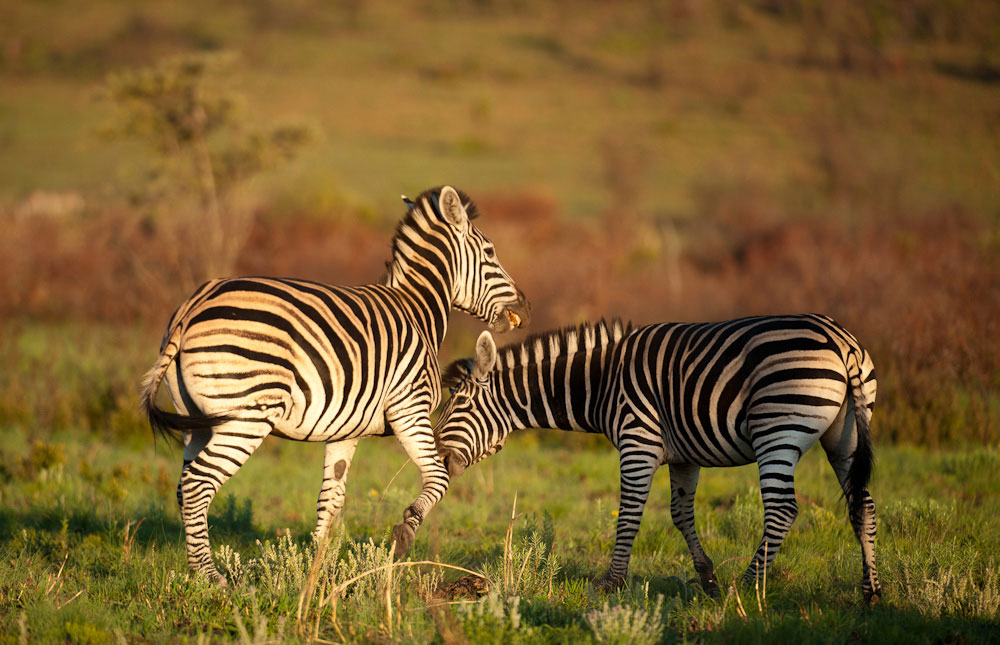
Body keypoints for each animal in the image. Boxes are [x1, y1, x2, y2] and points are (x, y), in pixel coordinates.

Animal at [140, 185, 530, 584]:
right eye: (490, 252)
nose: (524, 306)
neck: (418, 310)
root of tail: (193, 304)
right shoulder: (410, 407)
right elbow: (437, 477)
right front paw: (401, 539)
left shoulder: (346, 430)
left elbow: (331, 500)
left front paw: (316, 573)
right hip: (247, 416)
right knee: (197, 485)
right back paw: (211, 576)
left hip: (197, 420)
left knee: (183, 489)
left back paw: (196, 572)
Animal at [435, 315, 882, 604]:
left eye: (460, 402)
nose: (436, 453)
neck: (602, 382)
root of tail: (842, 342)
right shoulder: (685, 454)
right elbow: (680, 514)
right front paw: (707, 578)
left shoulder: (638, 441)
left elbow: (629, 514)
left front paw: (611, 584)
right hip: (843, 435)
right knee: (864, 505)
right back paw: (871, 592)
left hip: (778, 429)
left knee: (782, 510)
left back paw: (746, 589)